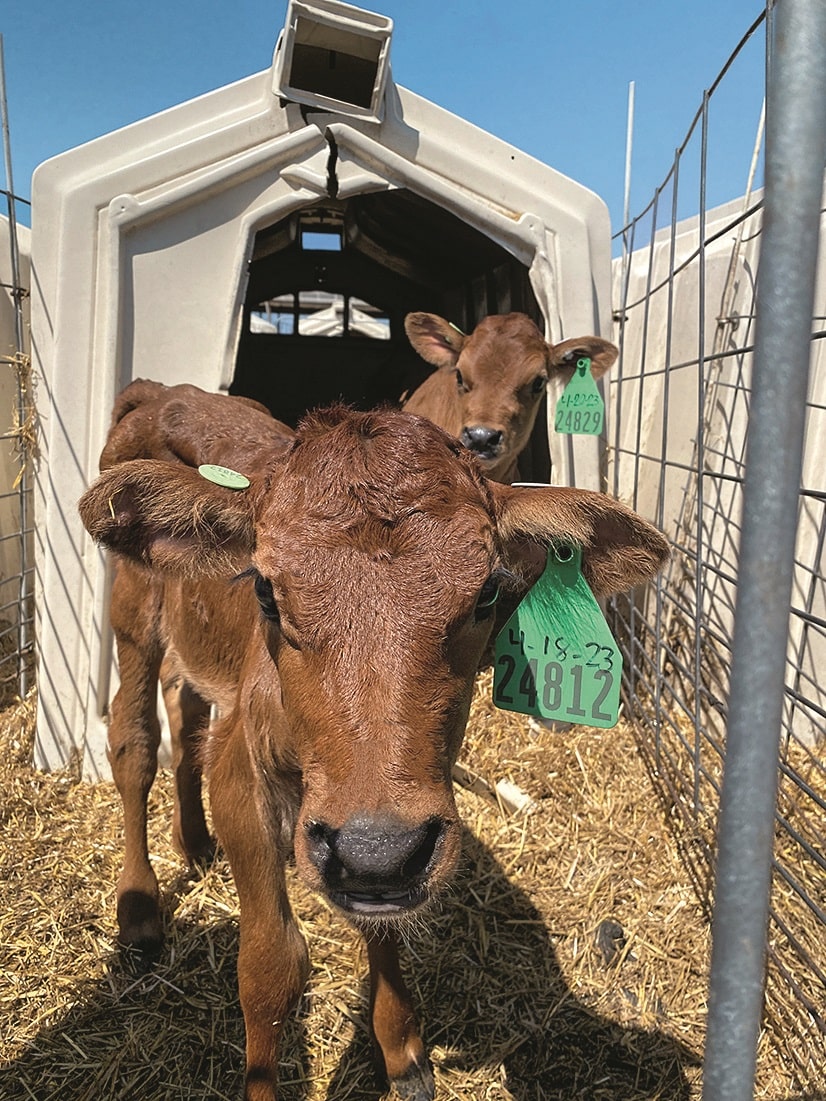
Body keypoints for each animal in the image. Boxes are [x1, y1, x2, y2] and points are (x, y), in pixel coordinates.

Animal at [79, 398, 674, 1101]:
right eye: (265, 592)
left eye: (486, 593)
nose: (376, 848)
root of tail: (158, 391)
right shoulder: (243, 778)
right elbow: (271, 966)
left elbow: (383, 926)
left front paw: (401, 1049)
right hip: (132, 609)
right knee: (135, 743)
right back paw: (140, 908)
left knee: (186, 707)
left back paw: (194, 841)